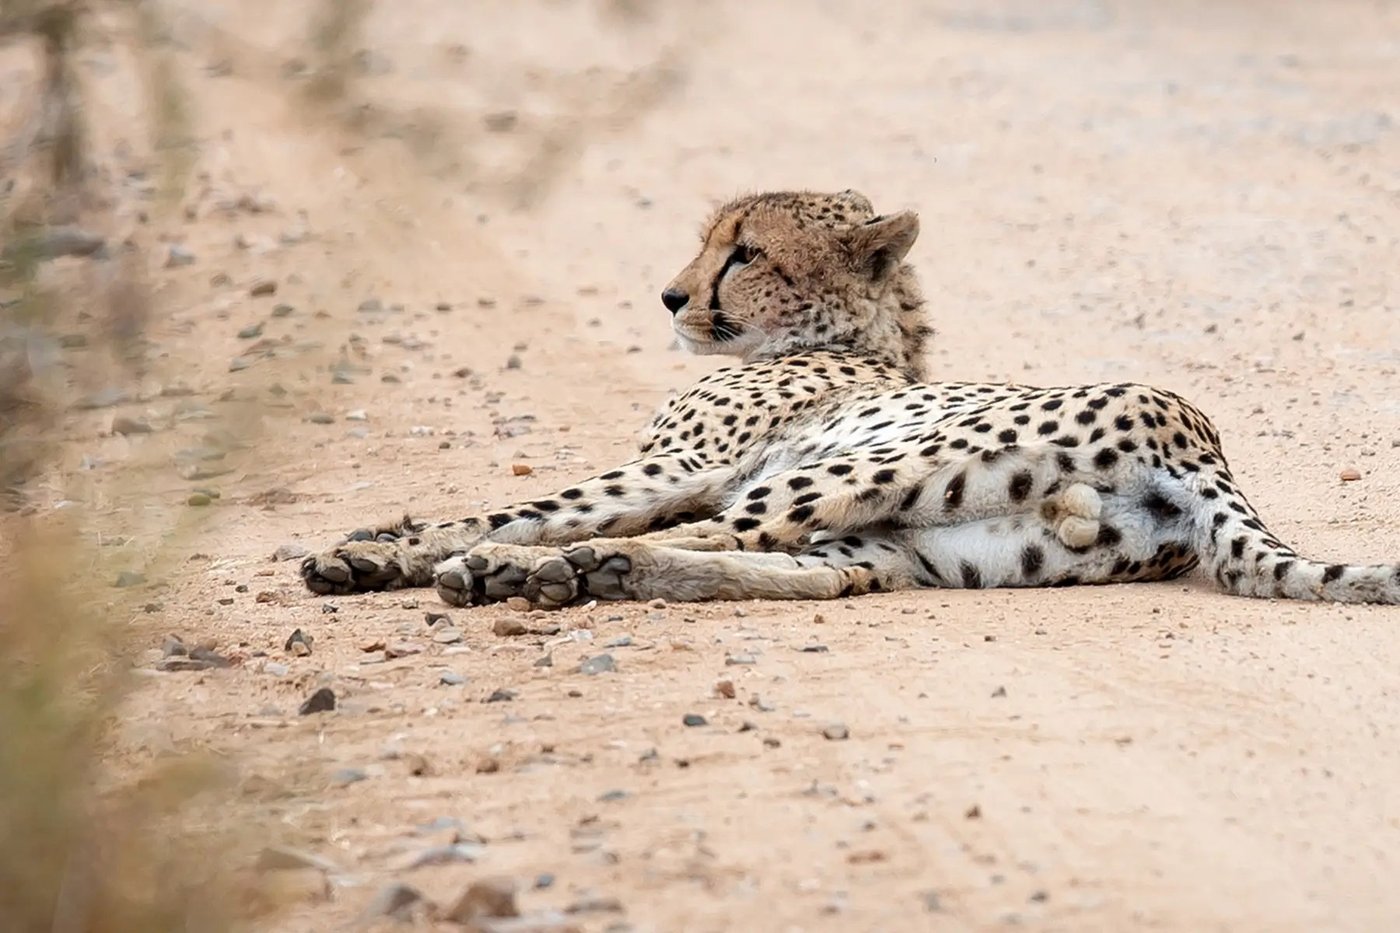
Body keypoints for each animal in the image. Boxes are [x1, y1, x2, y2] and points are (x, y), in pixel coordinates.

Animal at [300, 189, 1400, 608]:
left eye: (742, 252)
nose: (670, 296)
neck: (849, 341)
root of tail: (1196, 433)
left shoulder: (678, 464)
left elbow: (512, 505)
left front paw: (395, 547)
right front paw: (376, 547)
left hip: (857, 468)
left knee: (723, 532)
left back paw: (532, 570)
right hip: (917, 542)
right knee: (803, 573)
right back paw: (598, 571)